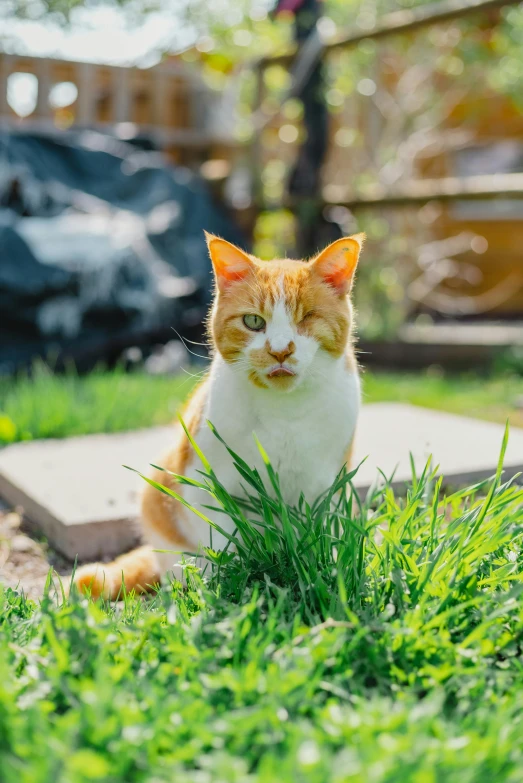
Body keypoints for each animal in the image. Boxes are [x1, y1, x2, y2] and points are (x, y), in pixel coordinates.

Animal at [73, 233, 364, 600]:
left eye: (308, 318)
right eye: (253, 321)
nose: (280, 351)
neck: (283, 412)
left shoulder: (331, 486)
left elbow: (322, 537)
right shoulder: (204, 483)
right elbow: (224, 546)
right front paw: (229, 589)